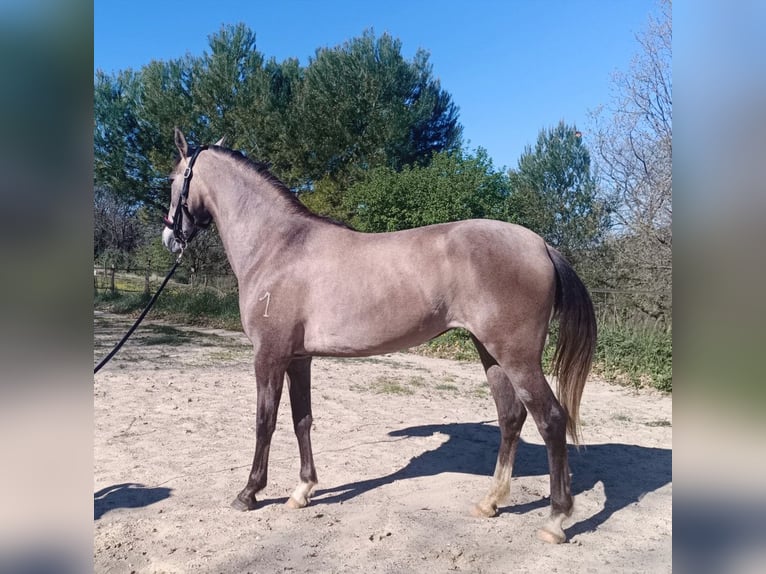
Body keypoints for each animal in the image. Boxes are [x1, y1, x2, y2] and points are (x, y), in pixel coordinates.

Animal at [162, 129, 596, 544]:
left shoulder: (268, 355)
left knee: (551, 420)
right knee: (511, 417)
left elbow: (264, 421)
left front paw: (249, 493)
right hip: (491, 353)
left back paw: (556, 519)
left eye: (172, 178)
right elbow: (302, 420)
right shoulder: (298, 358)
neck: (278, 246)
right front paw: (303, 490)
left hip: (517, 357)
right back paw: (490, 502)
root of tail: (540, 244)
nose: (169, 238)